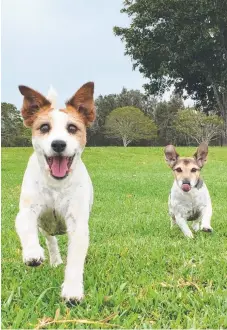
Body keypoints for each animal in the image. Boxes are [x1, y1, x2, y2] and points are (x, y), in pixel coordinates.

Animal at [14, 81, 95, 302]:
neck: (56, 185)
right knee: (51, 240)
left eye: (72, 128)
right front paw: (32, 253)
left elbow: (75, 259)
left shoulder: (77, 224)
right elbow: (26, 226)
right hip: (45, 227)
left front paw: (73, 290)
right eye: (44, 127)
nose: (58, 143)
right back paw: (54, 258)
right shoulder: (27, 211)